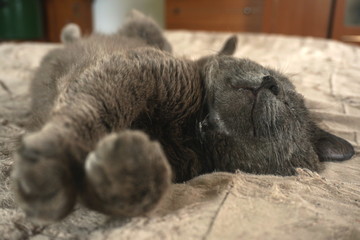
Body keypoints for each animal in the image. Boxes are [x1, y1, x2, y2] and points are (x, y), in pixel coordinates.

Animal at [11, 10, 354, 222]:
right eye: (276, 77)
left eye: (289, 104)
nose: (270, 83)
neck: (193, 125)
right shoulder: (131, 72)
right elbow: (94, 110)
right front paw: (51, 166)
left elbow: (153, 184)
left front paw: (120, 167)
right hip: (149, 33)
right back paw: (71, 33)